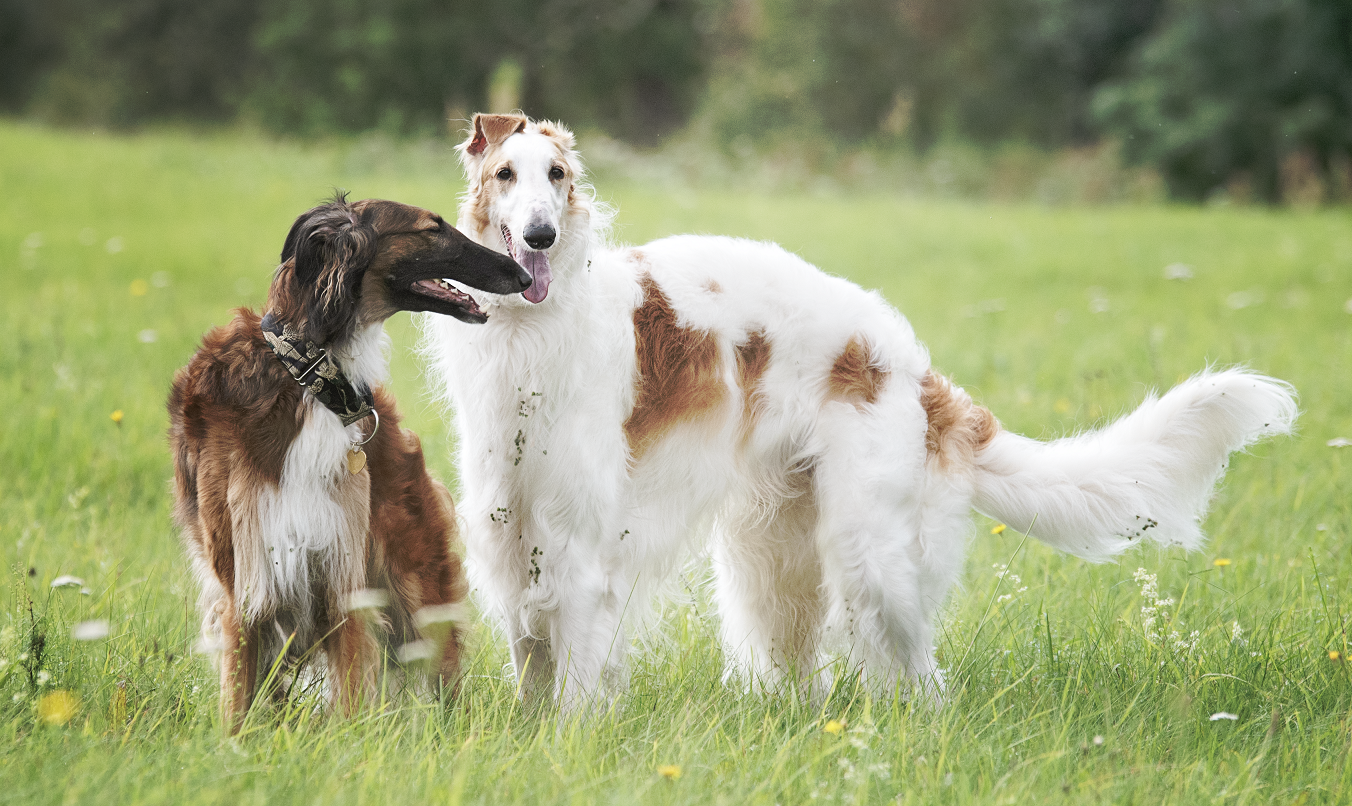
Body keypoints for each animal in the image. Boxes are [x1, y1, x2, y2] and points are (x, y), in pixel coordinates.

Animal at [169, 194, 527, 730]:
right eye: (433, 228)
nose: (523, 274)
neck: (308, 377)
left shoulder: (343, 573)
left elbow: (352, 694)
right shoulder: (245, 583)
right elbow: (237, 708)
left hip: (418, 586)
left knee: (445, 680)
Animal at [421, 113, 1297, 703]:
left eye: (557, 177)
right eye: (505, 176)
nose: (539, 236)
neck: (534, 330)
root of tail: (921, 372)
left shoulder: (581, 549)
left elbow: (571, 682)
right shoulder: (512, 530)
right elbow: (531, 667)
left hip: (867, 555)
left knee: (922, 680)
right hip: (771, 554)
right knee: (801, 670)